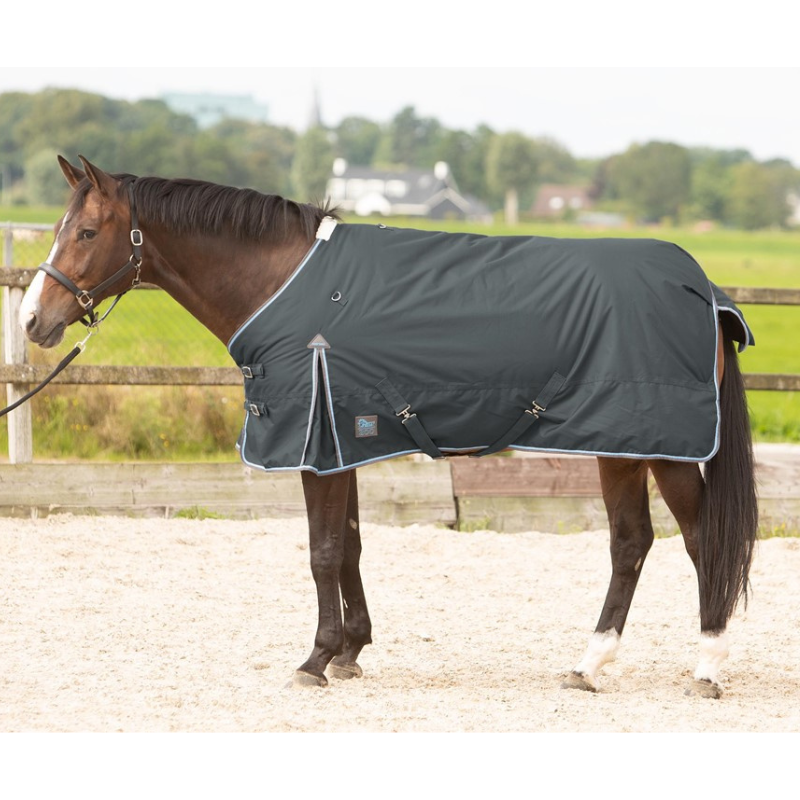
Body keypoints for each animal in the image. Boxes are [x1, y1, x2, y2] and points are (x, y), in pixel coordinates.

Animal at [19, 155, 758, 698]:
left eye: (86, 233)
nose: (32, 320)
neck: (285, 285)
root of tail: (704, 290)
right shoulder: (341, 438)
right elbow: (348, 546)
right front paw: (351, 650)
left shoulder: (315, 445)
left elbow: (321, 551)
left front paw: (315, 659)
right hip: (621, 444)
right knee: (632, 543)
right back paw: (589, 664)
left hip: (662, 446)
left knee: (701, 540)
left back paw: (707, 667)